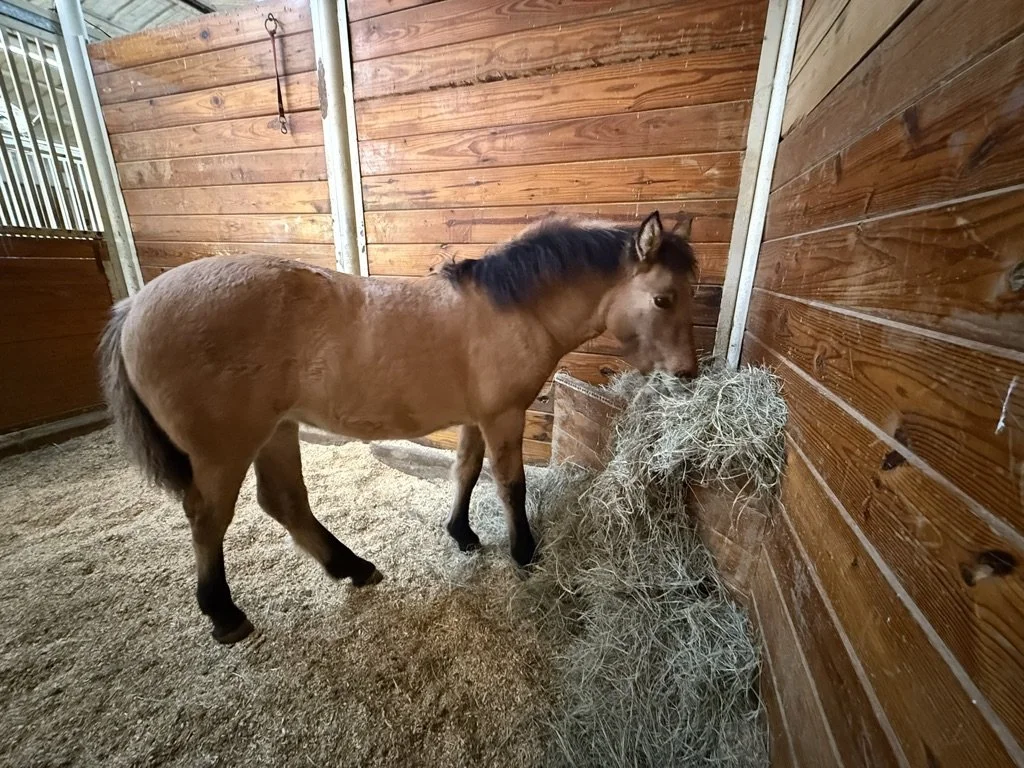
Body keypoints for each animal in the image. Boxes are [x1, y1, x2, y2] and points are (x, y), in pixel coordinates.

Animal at [98, 211, 699, 644]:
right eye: (663, 298)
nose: (688, 374)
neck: (511, 309)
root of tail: (134, 306)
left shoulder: (476, 417)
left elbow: (466, 471)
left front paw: (461, 534)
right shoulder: (503, 415)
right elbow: (510, 485)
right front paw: (524, 551)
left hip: (276, 432)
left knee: (285, 503)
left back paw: (352, 567)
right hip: (225, 451)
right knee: (208, 518)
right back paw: (224, 614)